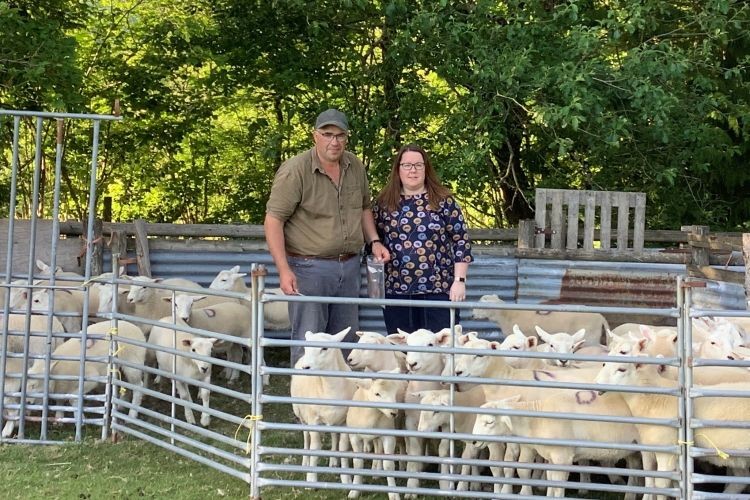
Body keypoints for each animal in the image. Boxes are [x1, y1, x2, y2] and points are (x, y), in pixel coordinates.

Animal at [290, 328, 356, 484]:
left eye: (324, 348)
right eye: (306, 347)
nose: (305, 367)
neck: (330, 388)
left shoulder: (345, 421)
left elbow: (343, 447)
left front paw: (346, 478)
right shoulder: (313, 420)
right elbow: (315, 447)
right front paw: (311, 478)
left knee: (333, 436)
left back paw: (333, 461)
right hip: (301, 414)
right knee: (306, 437)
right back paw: (305, 462)